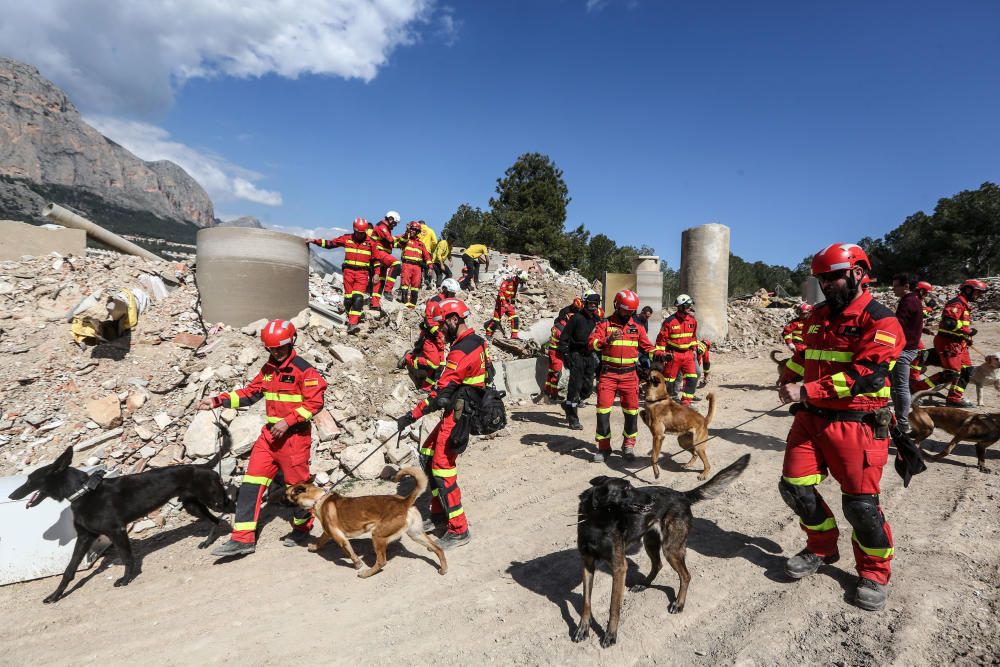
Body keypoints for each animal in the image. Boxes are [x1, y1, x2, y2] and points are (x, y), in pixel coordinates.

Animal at [8, 446, 234, 604]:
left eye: (30, 480)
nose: (11, 495)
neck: (83, 493)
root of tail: (204, 466)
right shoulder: (85, 537)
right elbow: (69, 569)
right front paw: (55, 595)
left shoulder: (116, 531)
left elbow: (127, 557)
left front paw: (125, 580)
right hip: (193, 505)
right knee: (216, 520)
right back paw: (209, 541)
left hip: (214, 500)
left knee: (233, 506)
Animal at [286, 464, 450, 580]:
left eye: (286, 494)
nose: (279, 497)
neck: (318, 499)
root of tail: (404, 502)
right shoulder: (329, 532)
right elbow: (321, 540)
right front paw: (314, 547)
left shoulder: (339, 537)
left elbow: (350, 552)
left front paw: (357, 564)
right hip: (415, 533)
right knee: (438, 548)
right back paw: (443, 569)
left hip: (377, 535)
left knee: (382, 562)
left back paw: (366, 573)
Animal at [572, 454, 752, 648]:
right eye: (626, 488)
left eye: (630, 485)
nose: (651, 500)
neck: (597, 522)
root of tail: (681, 494)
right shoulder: (587, 565)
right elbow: (586, 602)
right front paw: (583, 629)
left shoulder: (619, 567)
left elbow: (614, 606)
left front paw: (610, 635)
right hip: (650, 541)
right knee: (657, 565)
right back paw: (644, 584)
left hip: (671, 549)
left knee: (686, 576)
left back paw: (679, 603)